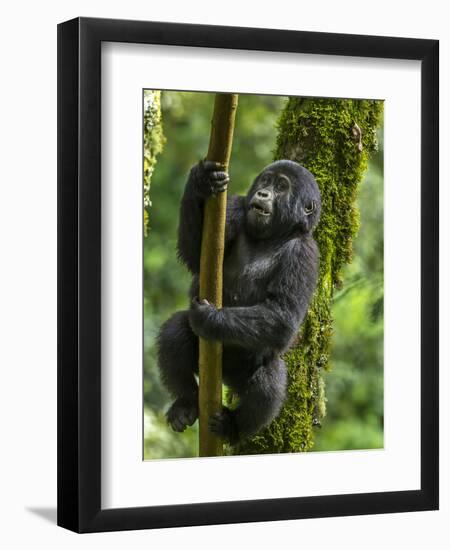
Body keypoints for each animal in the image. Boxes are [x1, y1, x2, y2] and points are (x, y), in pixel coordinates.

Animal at [156, 158, 322, 444]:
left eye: (281, 187)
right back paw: (186, 403)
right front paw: (201, 180)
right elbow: (195, 255)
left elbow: (282, 315)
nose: (263, 194)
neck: (275, 234)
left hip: (240, 375)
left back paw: (233, 427)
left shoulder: (305, 253)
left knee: (269, 379)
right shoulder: (234, 207)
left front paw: (209, 319)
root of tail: (223, 379)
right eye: (266, 181)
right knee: (175, 329)